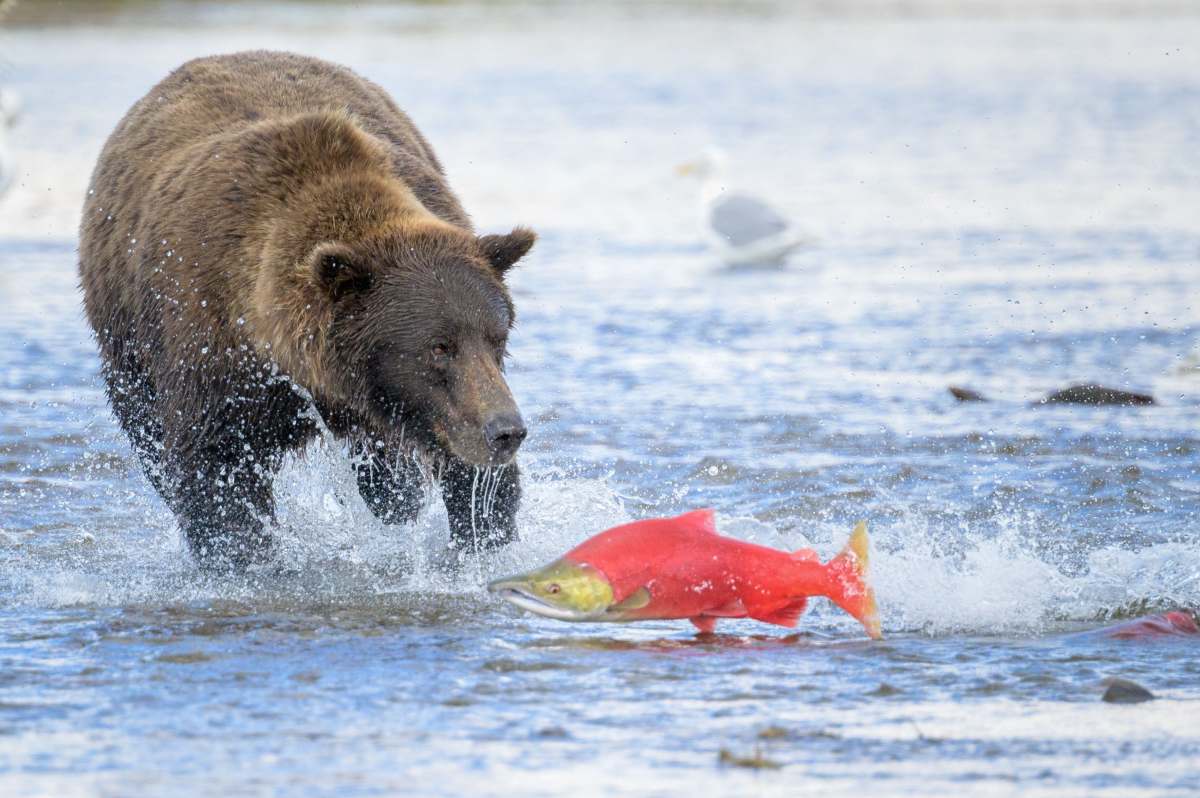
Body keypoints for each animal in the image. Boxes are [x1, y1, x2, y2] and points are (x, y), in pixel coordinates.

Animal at [77, 51, 537, 566]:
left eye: (498, 338)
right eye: (439, 346)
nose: (506, 431)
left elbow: (473, 481)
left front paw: (480, 542)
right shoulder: (212, 346)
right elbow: (215, 472)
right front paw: (245, 556)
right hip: (126, 341)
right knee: (149, 436)